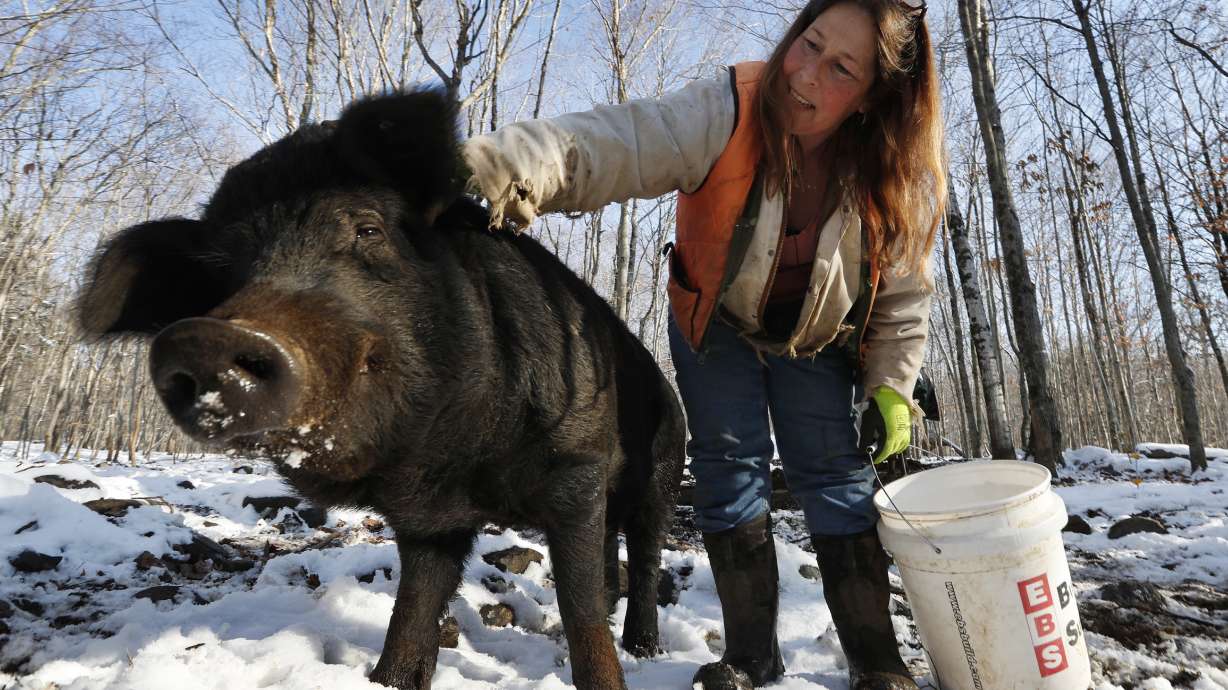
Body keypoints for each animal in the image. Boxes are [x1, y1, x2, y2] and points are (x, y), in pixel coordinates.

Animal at [76, 89, 686, 690]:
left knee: (645, 554)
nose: (206, 337)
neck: (454, 462)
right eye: (219, 275)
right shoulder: (431, 521)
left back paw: (643, 646)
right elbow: (412, 613)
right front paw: (388, 677)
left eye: (367, 229)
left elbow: (581, 611)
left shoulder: (577, 466)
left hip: (663, 470)